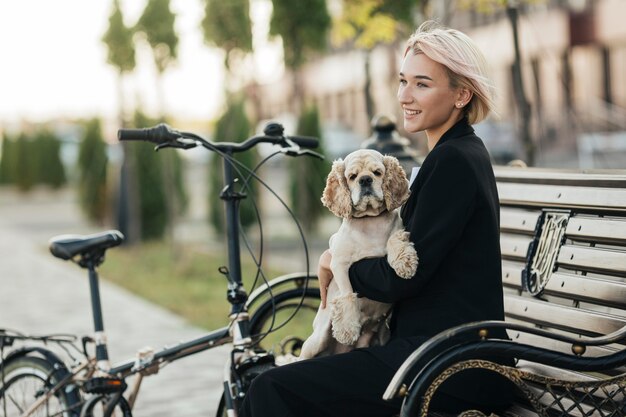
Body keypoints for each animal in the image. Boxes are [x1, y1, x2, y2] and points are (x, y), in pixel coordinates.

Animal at [298, 149, 420, 358]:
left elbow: (394, 240)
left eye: (377, 173)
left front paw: (405, 263)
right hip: (316, 341)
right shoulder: (338, 263)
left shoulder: (399, 230)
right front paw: (347, 329)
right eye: (352, 177)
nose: (365, 180)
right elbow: (347, 293)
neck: (370, 220)